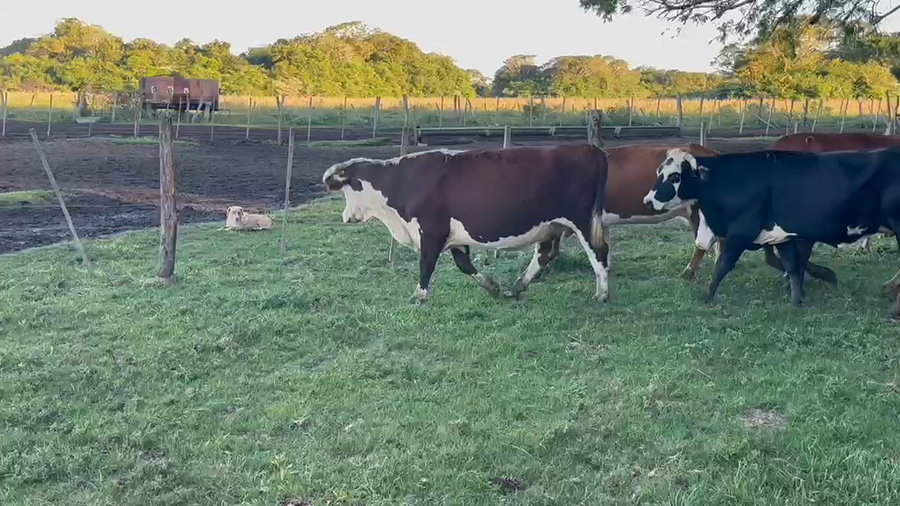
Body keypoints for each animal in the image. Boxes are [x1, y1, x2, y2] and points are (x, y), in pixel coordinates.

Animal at [322, 146, 612, 304]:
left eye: (346, 188)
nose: (345, 217)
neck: (402, 181)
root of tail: (588, 148)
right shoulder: (454, 236)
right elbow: (464, 265)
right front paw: (491, 286)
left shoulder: (431, 230)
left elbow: (426, 264)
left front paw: (419, 296)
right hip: (551, 224)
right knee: (546, 253)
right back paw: (517, 286)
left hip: (582, 221)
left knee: (599, 252)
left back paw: (601, 294)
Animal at [642, 147, 900, 316]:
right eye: (659, 172)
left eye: (675, 176)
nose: (647, 201)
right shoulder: (781, 235)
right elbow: (792, 267)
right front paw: (797, 300)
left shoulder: (740, 232)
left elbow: (722, 266)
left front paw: (707, 297)